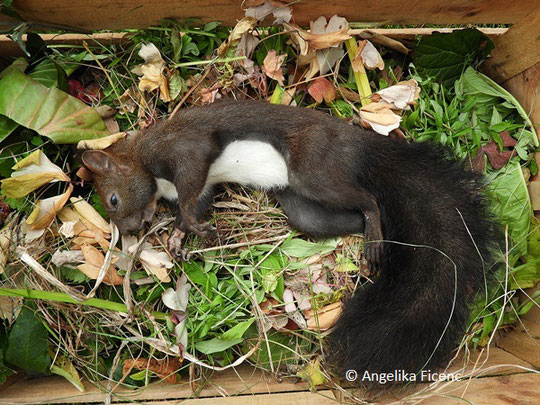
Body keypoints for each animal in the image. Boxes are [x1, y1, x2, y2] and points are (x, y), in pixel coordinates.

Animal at [82, 99, 500, 384]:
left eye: (113, 199)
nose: (132, 229)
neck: (147, 166)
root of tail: (357, 143)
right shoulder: (202, 187)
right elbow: (198, 200)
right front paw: (179, 237)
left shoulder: (182, 148)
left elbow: (191, 183)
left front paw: (189, 225)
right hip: (302, 205)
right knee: (347, 215)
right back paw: (368, 238)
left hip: (312, 167)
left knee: (370, 200)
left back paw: (375, 238)